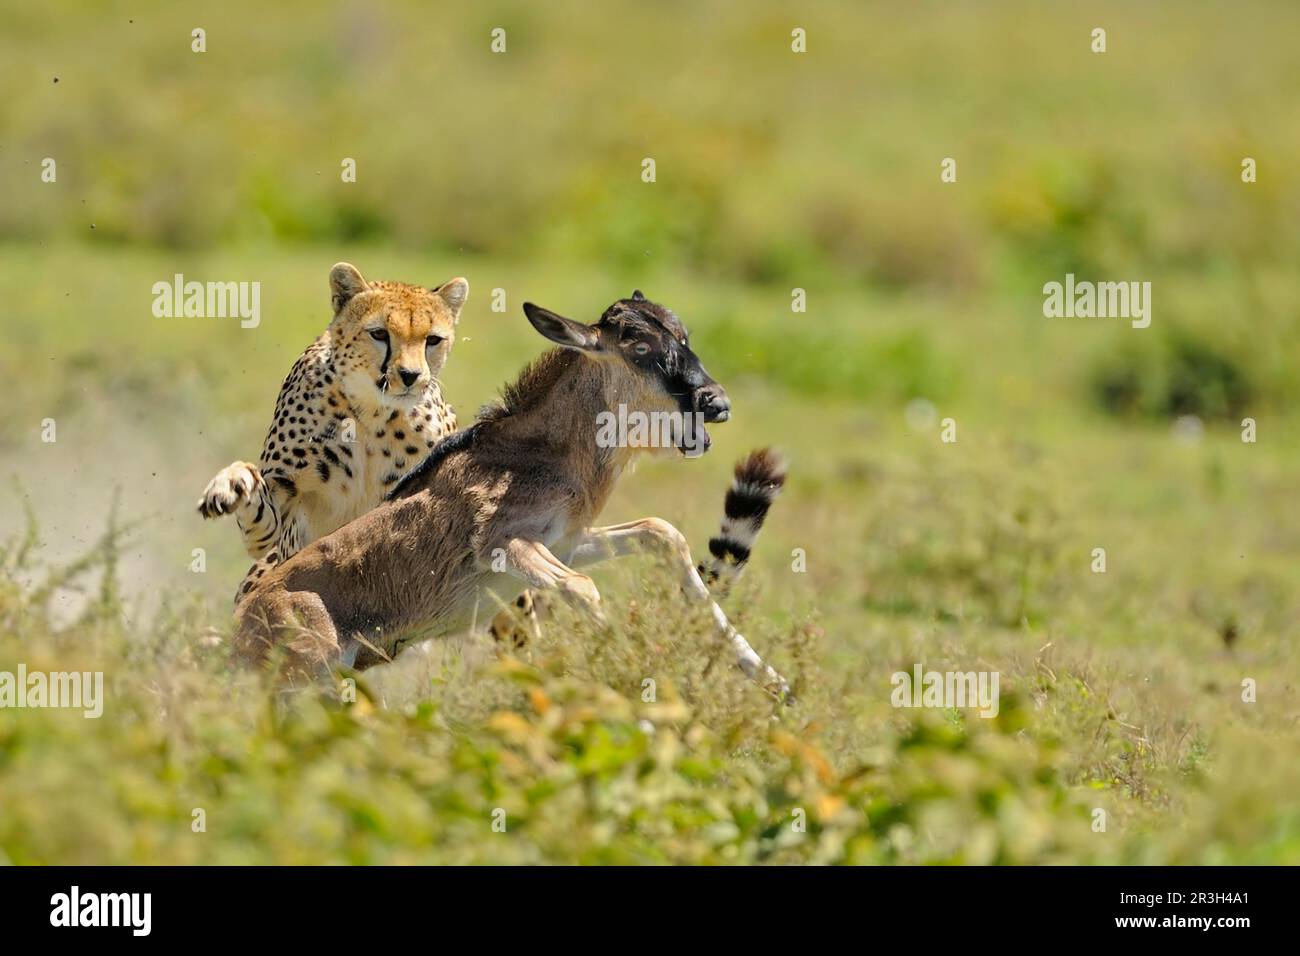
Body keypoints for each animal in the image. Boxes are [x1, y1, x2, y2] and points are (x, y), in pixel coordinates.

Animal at [200, 264, 465, 598]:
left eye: (433, 340)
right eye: (379, 334)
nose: (410, 375)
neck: (375, 414)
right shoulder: (278, 523)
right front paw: (233, 483)